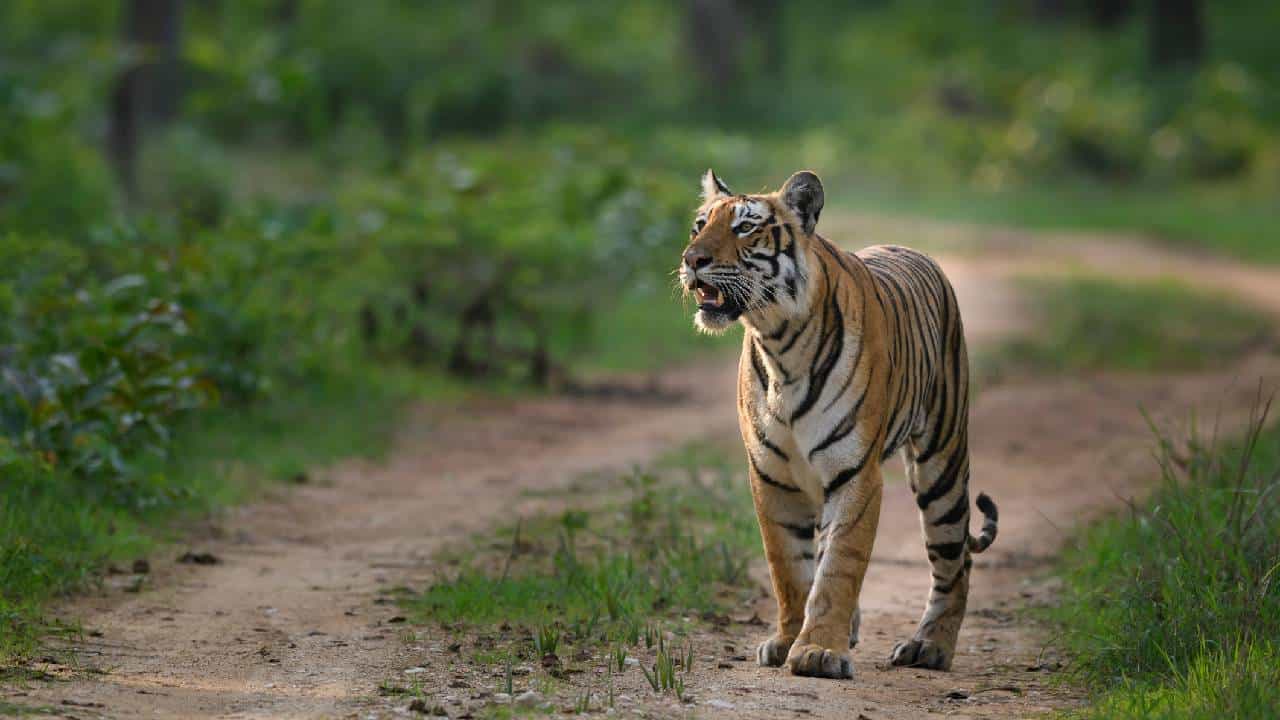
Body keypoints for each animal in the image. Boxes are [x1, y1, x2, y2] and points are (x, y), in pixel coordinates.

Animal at [678, 169, 998, 679]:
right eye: (699, 226)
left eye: (745, 228)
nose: (692, 260)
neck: (779, 344)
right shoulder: (772, 478)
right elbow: (790, 568)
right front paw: (789, 640)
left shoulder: (855, 474)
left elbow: (839, 566)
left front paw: (818, 650)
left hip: (941, 463)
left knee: (955, 559)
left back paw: (929, 647)